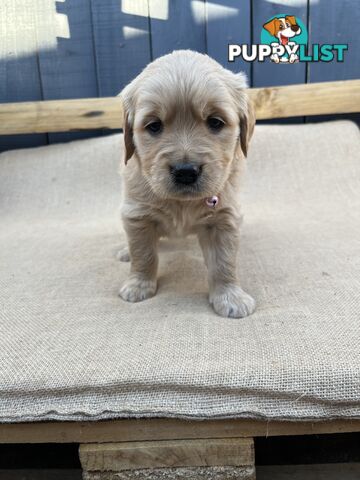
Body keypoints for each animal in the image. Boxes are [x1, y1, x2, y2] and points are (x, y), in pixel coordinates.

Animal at [118, 49, 256, 318]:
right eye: (154, 125)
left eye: (215, 122)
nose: (185, 172)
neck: (182, 203)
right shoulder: (137, 214)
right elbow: (143, 253)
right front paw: (139, 285)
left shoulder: (224, 219)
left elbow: (224, 262)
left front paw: (230, 297)